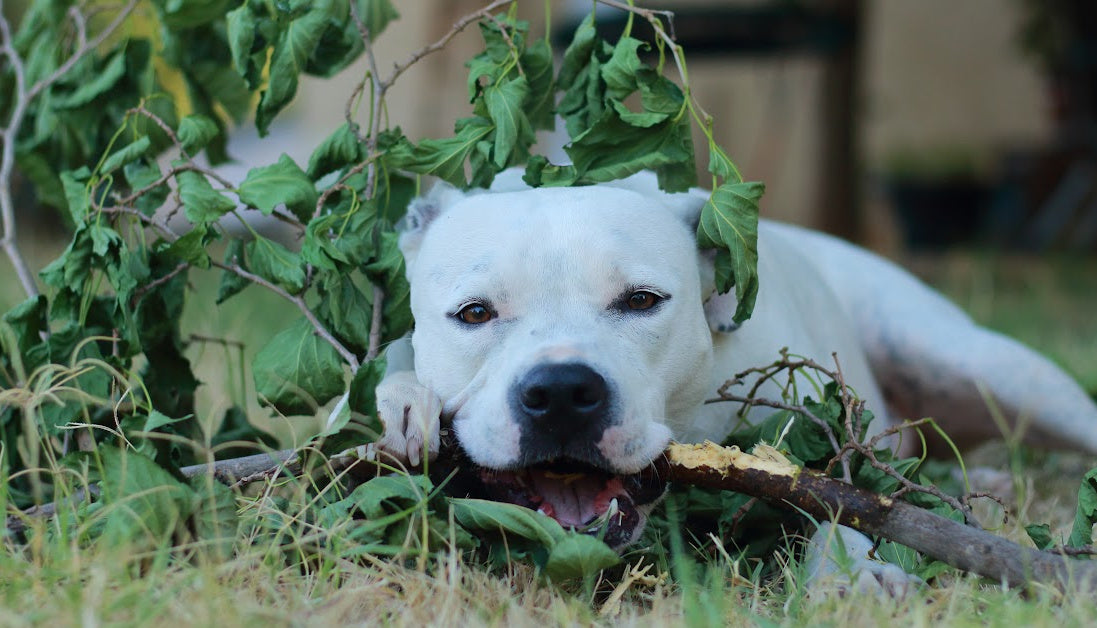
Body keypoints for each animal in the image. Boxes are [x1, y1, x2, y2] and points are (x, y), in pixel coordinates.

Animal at [370, 167, 1097, 588]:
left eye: (641, 300)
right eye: (474, 313)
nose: (560, 395)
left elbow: (841, 499)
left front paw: (847, 575)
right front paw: (404, 405)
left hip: (982, 364)